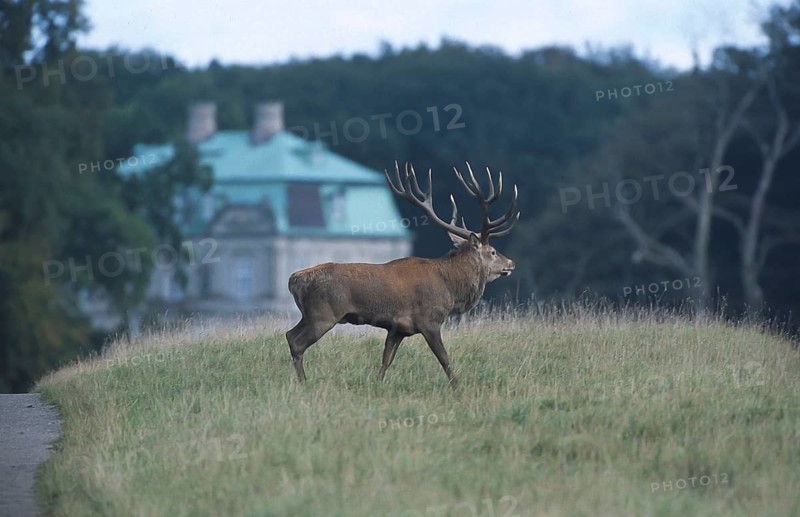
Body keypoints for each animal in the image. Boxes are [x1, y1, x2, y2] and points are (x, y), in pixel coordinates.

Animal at [285, 162, 520, 387]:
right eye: (492, 251)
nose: (511, 263)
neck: (450, 289)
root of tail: (293, 280)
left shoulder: (397, 328)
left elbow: (386, 360)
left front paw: (377, 384)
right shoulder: (429, 320)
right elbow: (444, 359)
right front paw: (457, 386)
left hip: (309, 314)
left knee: (289, 334)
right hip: (324, 314)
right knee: (297, 342)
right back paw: (304, 382)